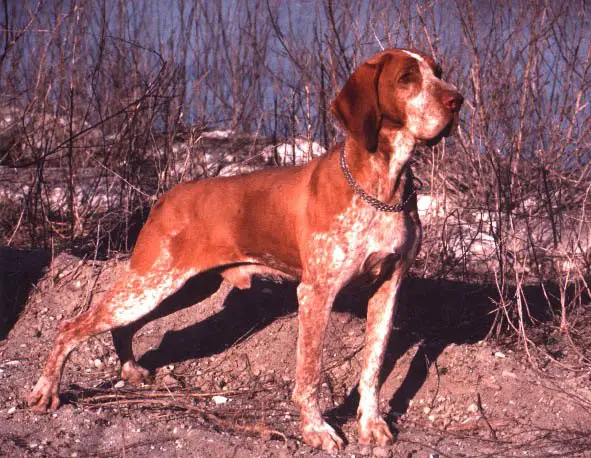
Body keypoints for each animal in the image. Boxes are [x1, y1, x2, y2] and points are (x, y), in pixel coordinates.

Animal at [28, 49, 462, 450]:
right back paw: (46, 390)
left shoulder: (388, 287)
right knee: (71, 327)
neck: (380, 187)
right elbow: (310, 375)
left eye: (438, 72)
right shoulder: (316, 293)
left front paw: (370, 424)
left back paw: (131, 370)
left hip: (179, 288)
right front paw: (316, 430)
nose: (457, 100)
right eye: (406, 78)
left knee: (124, 327)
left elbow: (372, 366)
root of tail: (166, 197)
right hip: (149, 285)